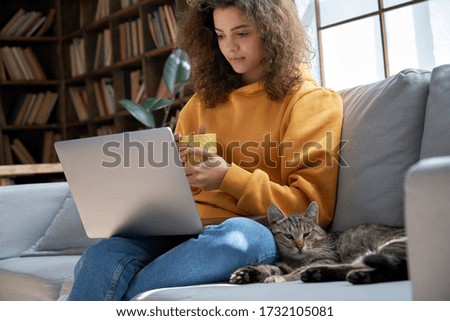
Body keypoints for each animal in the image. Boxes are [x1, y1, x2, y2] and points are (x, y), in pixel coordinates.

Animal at [230, 201, 410, 284]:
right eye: (288, 236)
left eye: (306, 234)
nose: (300, 246)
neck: (297, 260)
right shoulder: (282, 265)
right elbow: (268, 268)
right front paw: (246, 273)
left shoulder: (328, 259)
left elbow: (294, 273)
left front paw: (278, 278)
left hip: (388, 247)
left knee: (391, 268)